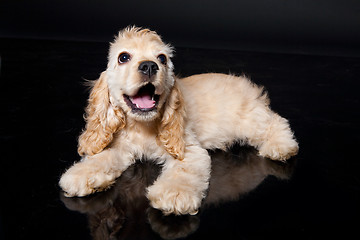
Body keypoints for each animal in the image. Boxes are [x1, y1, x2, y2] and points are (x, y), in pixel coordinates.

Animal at [59, 26, 298, 216]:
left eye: (162, 58)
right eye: (123, 57)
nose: (149, 66)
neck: (143, 126)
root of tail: (248, 85)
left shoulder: (189, 149)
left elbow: (182, 173)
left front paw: (173, 195)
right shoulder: (121, 146)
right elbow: (102, 157)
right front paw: (82, 175)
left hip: (250, 120)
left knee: (276, 122)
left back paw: (282, 146)